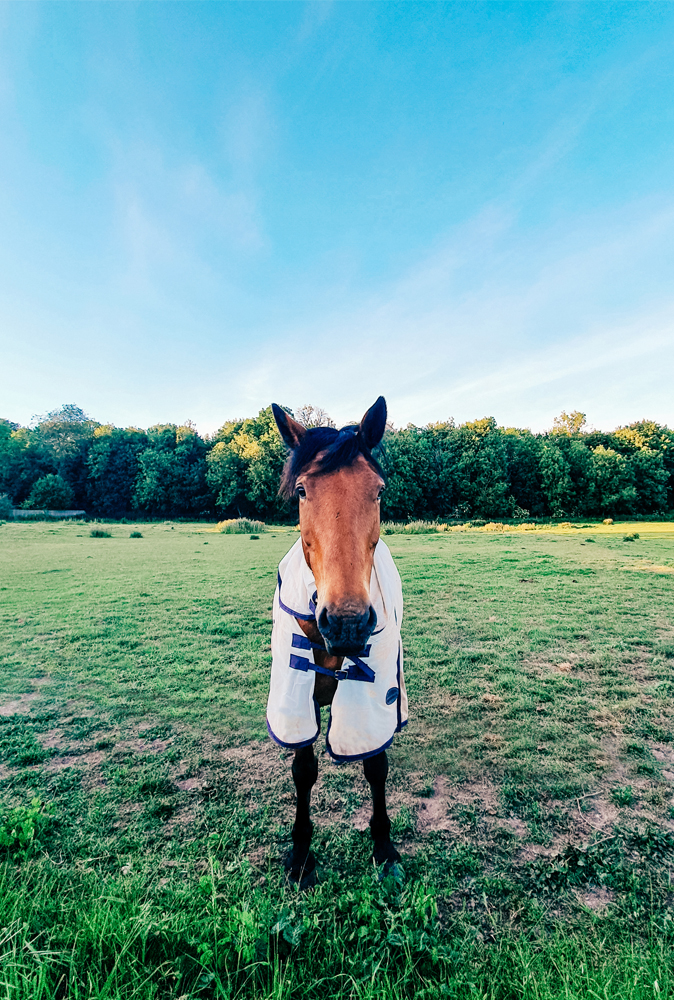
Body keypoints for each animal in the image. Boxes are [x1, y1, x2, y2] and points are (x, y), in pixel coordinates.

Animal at [266, 394, 404, 888]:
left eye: (378, 491)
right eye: (302, 491)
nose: (346, 622)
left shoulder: (373, 698)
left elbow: (375, 764)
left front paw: (384, 848)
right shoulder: (297, 696)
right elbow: (303, 770)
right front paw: (300, 854)